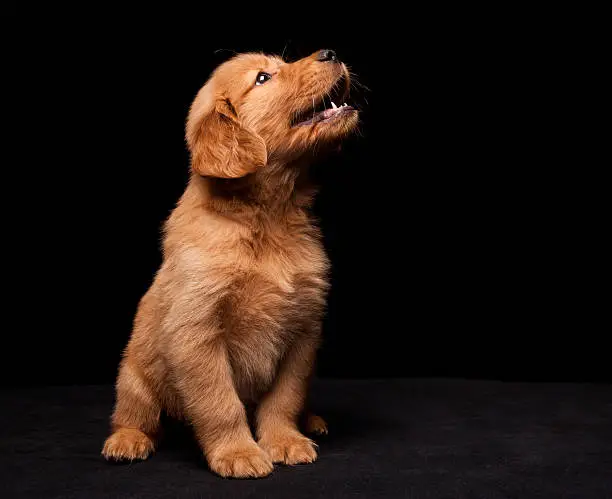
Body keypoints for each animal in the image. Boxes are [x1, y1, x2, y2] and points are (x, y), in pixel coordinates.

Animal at [100, 48, 358, 478]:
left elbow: (285, 397)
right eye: (262, 78)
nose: (330, 52)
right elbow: (220, 403)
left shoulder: (303, 329)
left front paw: (283, 440)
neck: (269, 216)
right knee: (136, 415)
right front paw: (238, 452)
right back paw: (127, 441)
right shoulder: (196, 331)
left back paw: (312, 421)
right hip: (134, 376)